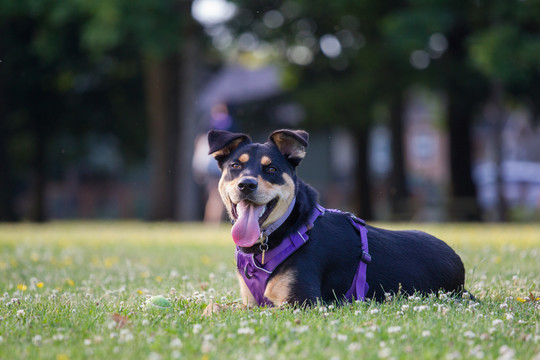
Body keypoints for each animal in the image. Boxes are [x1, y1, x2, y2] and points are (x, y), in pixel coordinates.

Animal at [207, 129, 468, 306]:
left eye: (271, 169)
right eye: (235, 166)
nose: (246, 184)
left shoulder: (299, 301)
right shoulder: (250, 301)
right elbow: (216, 306)